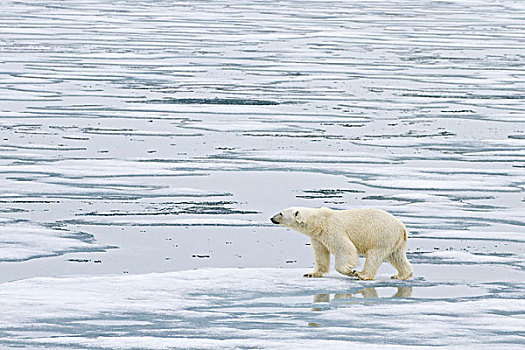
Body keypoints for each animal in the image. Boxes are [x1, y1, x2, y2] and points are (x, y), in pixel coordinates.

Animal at [270, 206, 414, 280]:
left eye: (281, 213)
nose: (271, 218)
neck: (318, 221)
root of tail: (402, 227)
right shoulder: (318, 237)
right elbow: (321, 254)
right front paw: (311, 273)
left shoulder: (333, 230)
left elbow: (345, 248)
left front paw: (349, 271)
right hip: (395, 240)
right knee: (397, 256)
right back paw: (401, 275)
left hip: (380, 235)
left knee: (375, 255)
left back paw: (362, 274)